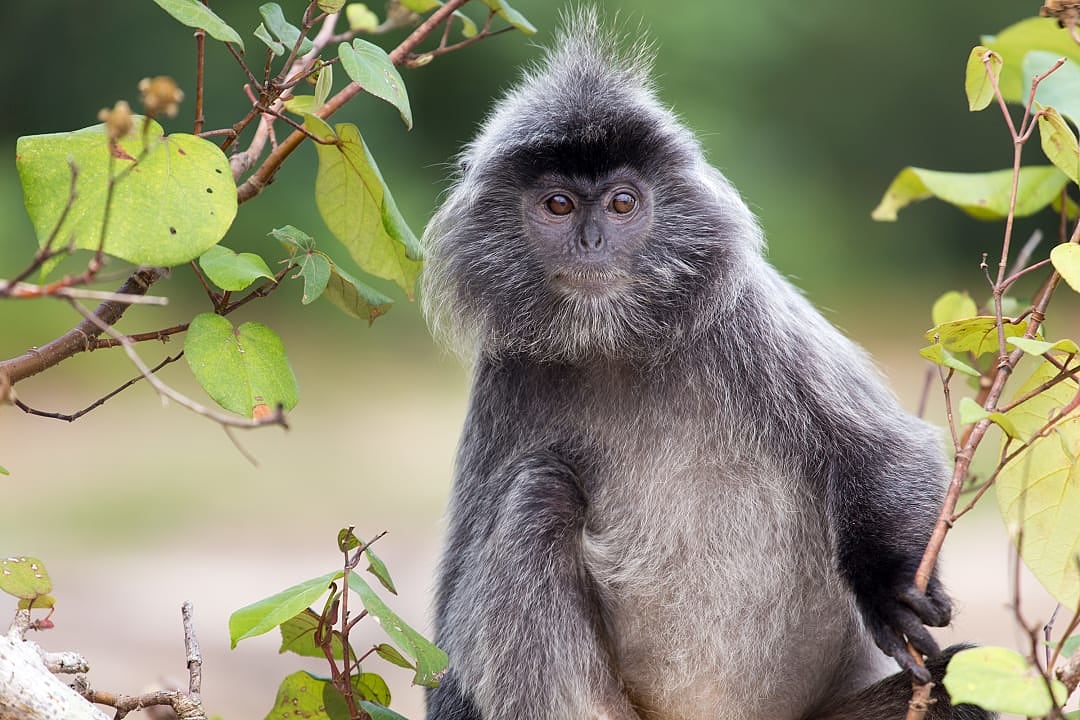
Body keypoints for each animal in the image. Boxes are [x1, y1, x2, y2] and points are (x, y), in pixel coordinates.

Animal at [421, 10, 992, 720]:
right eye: (558, 205)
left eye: (622, 204)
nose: (591, 242)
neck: (615, 343)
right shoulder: (508, 371)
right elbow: (452, 630)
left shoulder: (743, 316)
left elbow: (883, 451)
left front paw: (888, 594)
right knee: (539, 491)